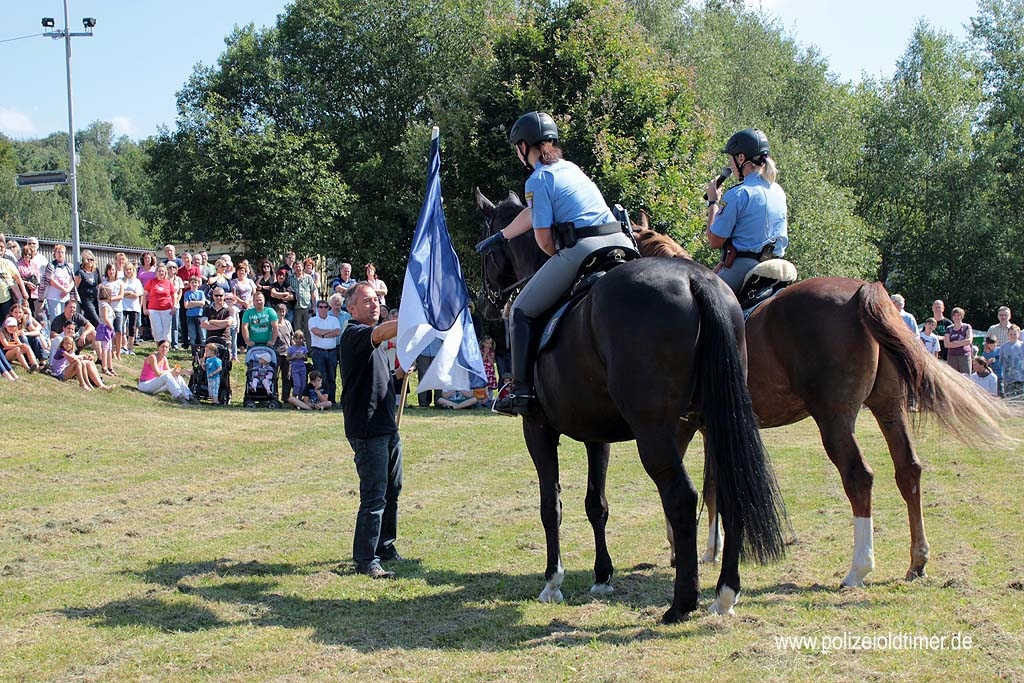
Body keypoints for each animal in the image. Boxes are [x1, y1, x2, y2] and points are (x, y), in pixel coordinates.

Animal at [475, 189, 786, 622]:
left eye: (488, 249)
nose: (485, 307)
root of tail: (695, 280)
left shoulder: (537, 429)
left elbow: (550, 505)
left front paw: (553, 581)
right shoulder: (596, 435)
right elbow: (596, 504)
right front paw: (602, 575)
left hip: (654, 433)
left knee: (681, 497)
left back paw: (681, 603)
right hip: (717, 422)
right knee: (729, 491)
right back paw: (725, 592)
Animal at [634, 224, 1011, 589]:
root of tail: (862, 291)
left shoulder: (682, 426)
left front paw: (683, 548)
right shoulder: (714, 427)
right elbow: (716, 486)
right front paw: (713, 549)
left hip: (834, 420)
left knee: (859, 476)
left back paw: (858, 569)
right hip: (889, 408)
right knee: (908, 469)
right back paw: (917, 561)